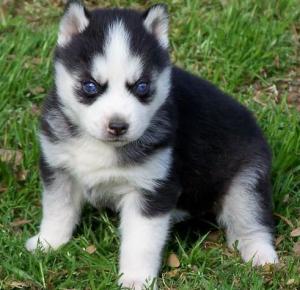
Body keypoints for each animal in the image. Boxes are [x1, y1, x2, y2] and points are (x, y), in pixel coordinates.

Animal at [25, 1, 278, 288]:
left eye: (142, 86)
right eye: (90, 86)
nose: (118, 125)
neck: (101, 146)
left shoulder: (152, 189)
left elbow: (141, 242)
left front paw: (136, 279)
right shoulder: (59, 169)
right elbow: (58, 209)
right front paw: (48, 242)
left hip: (246, 179)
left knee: (251, 218)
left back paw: (260, 253)